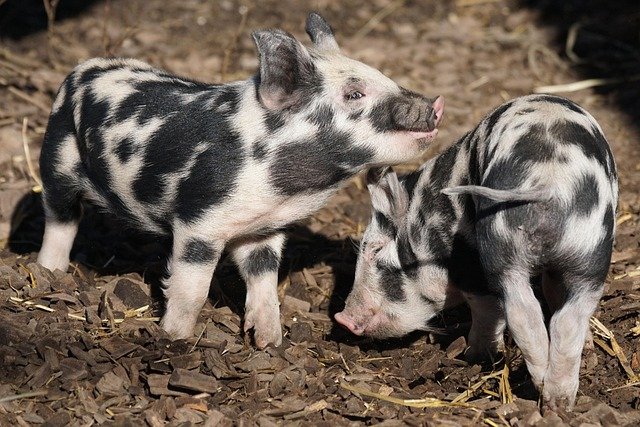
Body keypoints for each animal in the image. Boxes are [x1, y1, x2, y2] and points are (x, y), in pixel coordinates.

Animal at [36, 13, 444, 349]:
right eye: (355, 94)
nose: (435, 105)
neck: (285, 191)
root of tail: (83, 68)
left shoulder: (264, 230)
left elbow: (264, 282)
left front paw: (269, 342)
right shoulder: (199, 223)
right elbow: (191, 291)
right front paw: (173, 339)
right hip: (57, 161)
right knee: (60, 218)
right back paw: (49, 273)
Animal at [335, 94, 617, 409]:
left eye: (375, 249)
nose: (342, 318)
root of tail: (549, 182)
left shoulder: (467, 265)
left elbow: (486, 307)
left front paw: (476, 355)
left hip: (509, 248)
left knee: (523, 313)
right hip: (588, 251)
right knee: (561, 318)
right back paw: (558, 401)